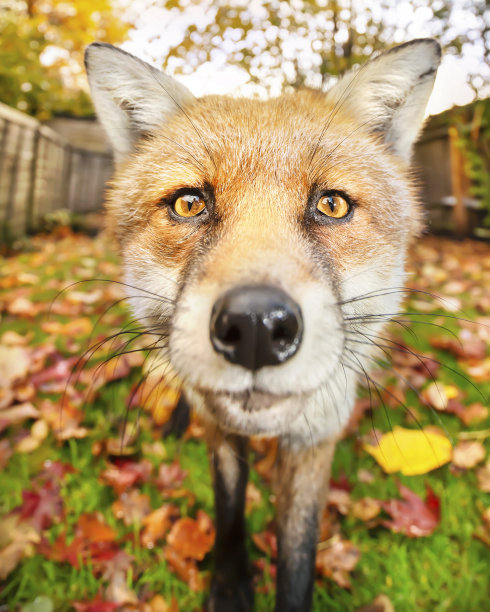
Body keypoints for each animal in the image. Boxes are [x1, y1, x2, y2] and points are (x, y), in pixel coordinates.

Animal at [83, 39, 440, 612]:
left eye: (332, 204)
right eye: (189, 203)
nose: (255, 327)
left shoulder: (315, 438)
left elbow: (297, 554)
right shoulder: (222, 428)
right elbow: (229, 509)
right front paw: (230, 587)